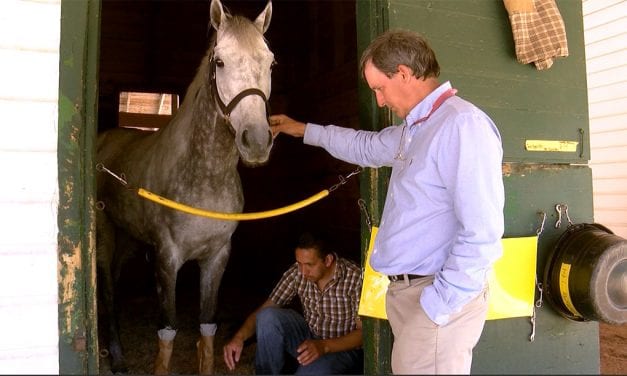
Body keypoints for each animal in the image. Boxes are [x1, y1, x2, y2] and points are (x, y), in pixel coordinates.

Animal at [97, 0, 274, 374]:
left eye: (270, 62)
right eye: (219, 61)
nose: (256, 141)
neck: (204, 177)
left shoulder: (217, 257)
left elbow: (207, 330)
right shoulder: (167, 258)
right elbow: (167, 332)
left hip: (128, 239)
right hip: (105, 235)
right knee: (108, 294)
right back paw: (117, 357)